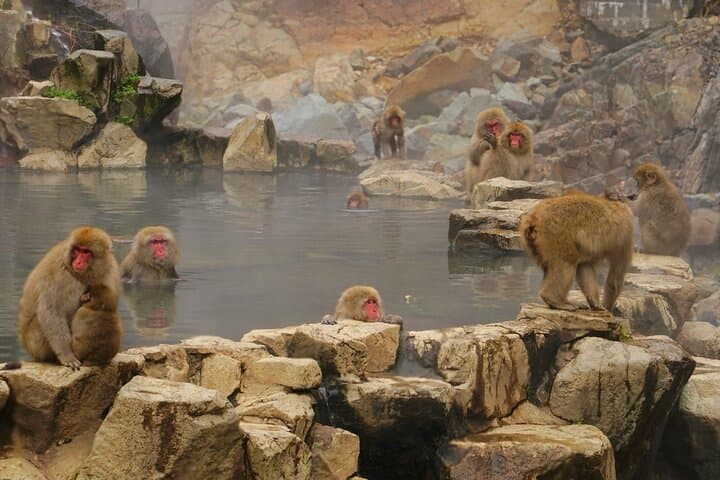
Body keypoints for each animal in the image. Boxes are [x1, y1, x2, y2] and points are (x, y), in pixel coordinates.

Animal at [17, 227, 119, 368]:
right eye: (77, 250)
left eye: (86, 252)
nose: (78, 261)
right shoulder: (60, 275)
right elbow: (51, 311)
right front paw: (67, 355)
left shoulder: (110, 271)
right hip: (34, 344)